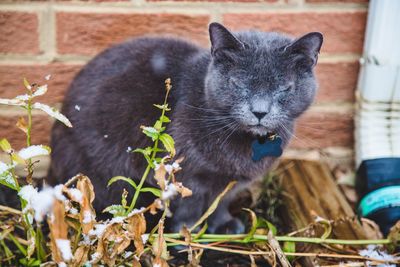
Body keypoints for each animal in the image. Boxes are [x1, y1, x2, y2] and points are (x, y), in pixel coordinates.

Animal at [47, 22, 322, 233]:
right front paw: (187, 232)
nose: (260, 111)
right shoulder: (184, 172)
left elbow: (220, 202)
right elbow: (189, 202)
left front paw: (224, 225)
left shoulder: (230, 182)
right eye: (237, 84)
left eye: (285, 88)